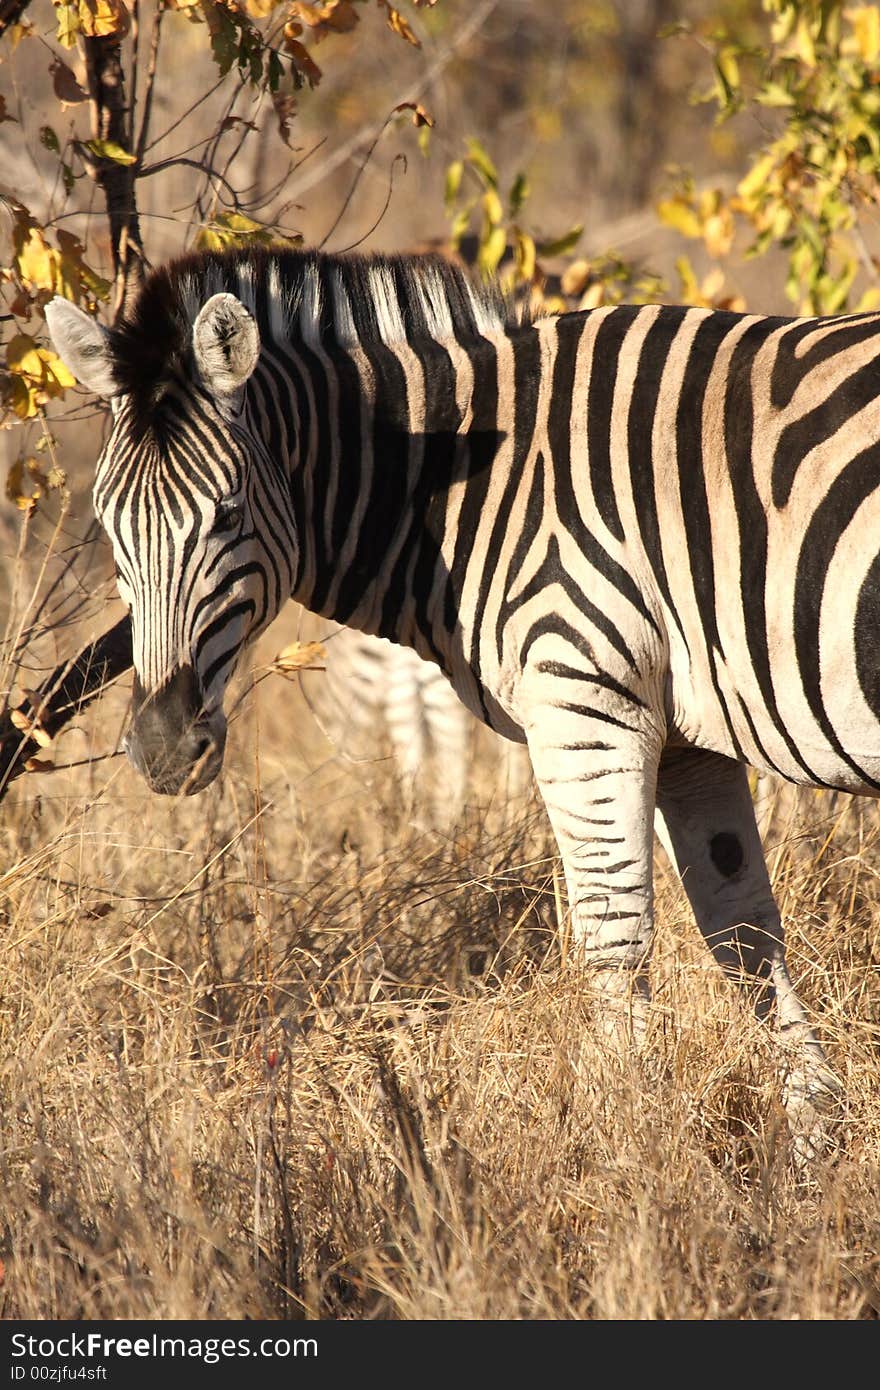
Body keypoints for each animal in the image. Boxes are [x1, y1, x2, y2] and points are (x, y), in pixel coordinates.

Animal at [47, 247, 878, 1150]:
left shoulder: (584, 703)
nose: (163, 749)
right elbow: (743, 927)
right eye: (107, 525)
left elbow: (612, 937)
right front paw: (816, 1139)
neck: (466, 492)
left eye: (227, 513)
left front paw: (624, 1146)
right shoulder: (689, 738)